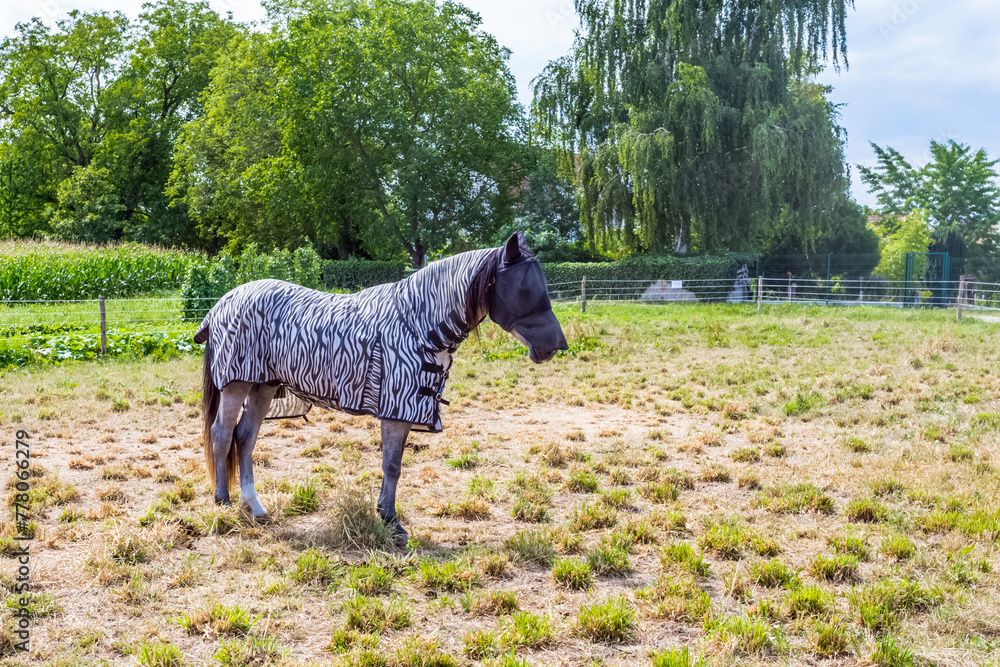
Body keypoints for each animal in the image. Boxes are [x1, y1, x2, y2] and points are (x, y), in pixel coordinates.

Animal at [193, 232, 567, 544]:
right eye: (523, 288)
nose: (554, 347)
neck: (417, 325)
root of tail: (221, 304)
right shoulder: (395, 408)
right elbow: (391, 466)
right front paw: (392, 523)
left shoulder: (407, 407)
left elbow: (396, 463)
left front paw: (386, 516)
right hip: (237, 383)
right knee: (222, 434)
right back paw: (223, 501)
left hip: (263, 386)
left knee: (244, 438)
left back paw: (255, 507)